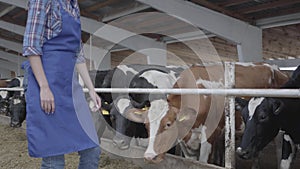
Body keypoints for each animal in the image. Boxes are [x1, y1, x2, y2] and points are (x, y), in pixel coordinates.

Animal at [125, 62, 290, 166]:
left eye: (168, 124)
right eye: (146, 125)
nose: (149, 156)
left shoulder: (210, 135)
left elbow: (203, 162)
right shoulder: (184, 139)